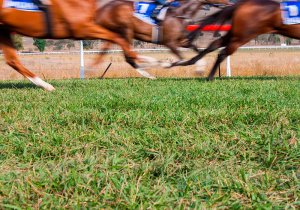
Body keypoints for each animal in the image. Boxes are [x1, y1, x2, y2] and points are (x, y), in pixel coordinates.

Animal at [0, 0, 148, 90]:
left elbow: (114, 40)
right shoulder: (81, 28)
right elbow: (117, 38)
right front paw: (142, 63)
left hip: (4, 31)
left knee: (12, 60)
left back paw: (46, 86)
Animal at [94, 0, 230, 78]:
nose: (229, 2)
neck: (179, 12)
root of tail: (102, 10)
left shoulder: (181, 41)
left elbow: (196, 50)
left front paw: (200, 67)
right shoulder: (169, 43)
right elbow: (182, 59)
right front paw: (166, 63)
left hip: (117, 34)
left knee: (126, 56)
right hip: (125, 30)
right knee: (129, 56)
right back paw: (150, 68)